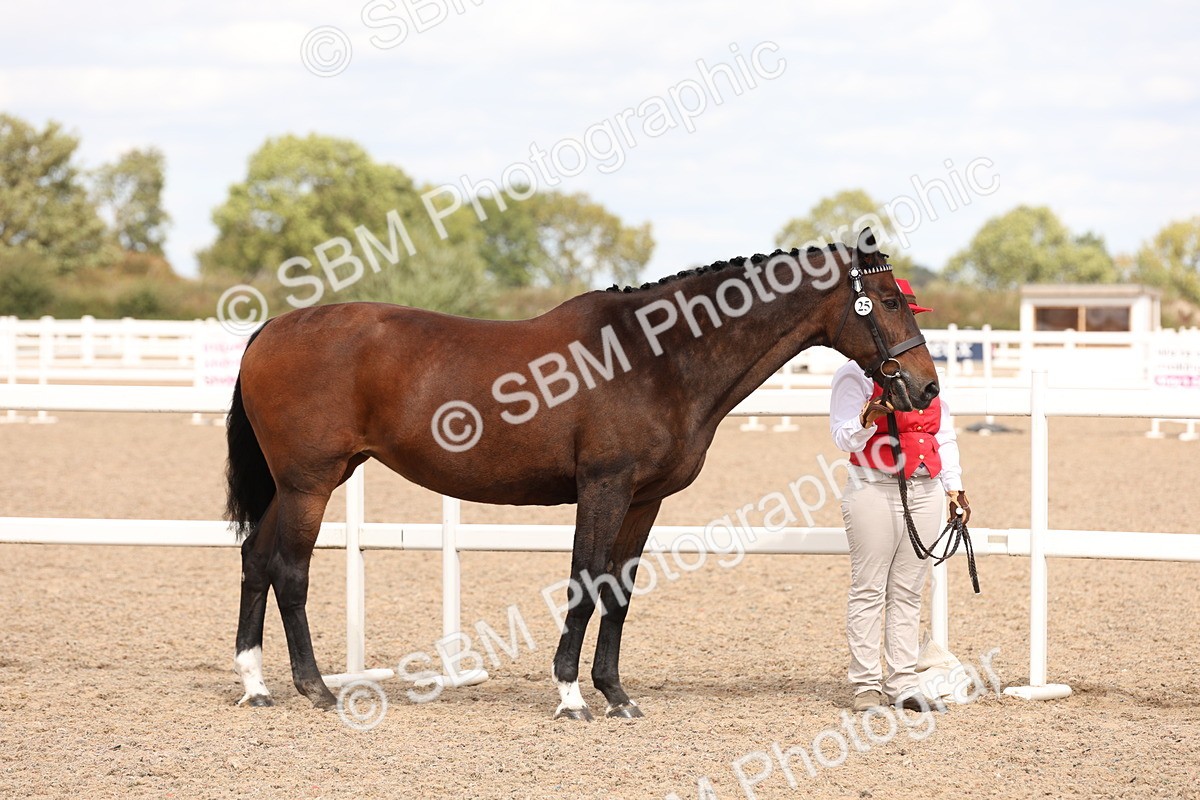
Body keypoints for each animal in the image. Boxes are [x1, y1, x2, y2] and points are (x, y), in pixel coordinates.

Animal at [226, 227, 939, 720]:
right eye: (883, 301)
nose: (924, 388)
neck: (656, 357)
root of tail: (271, 329)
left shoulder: (644, 501)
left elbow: (618, 592)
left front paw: (617, 694)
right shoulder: (603, 488)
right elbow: (584, 582)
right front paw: (571, 695)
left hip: (302, 482)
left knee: (255, 559)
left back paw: (256, 685)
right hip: (310, 483)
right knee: (289, 569)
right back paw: (315, 688)